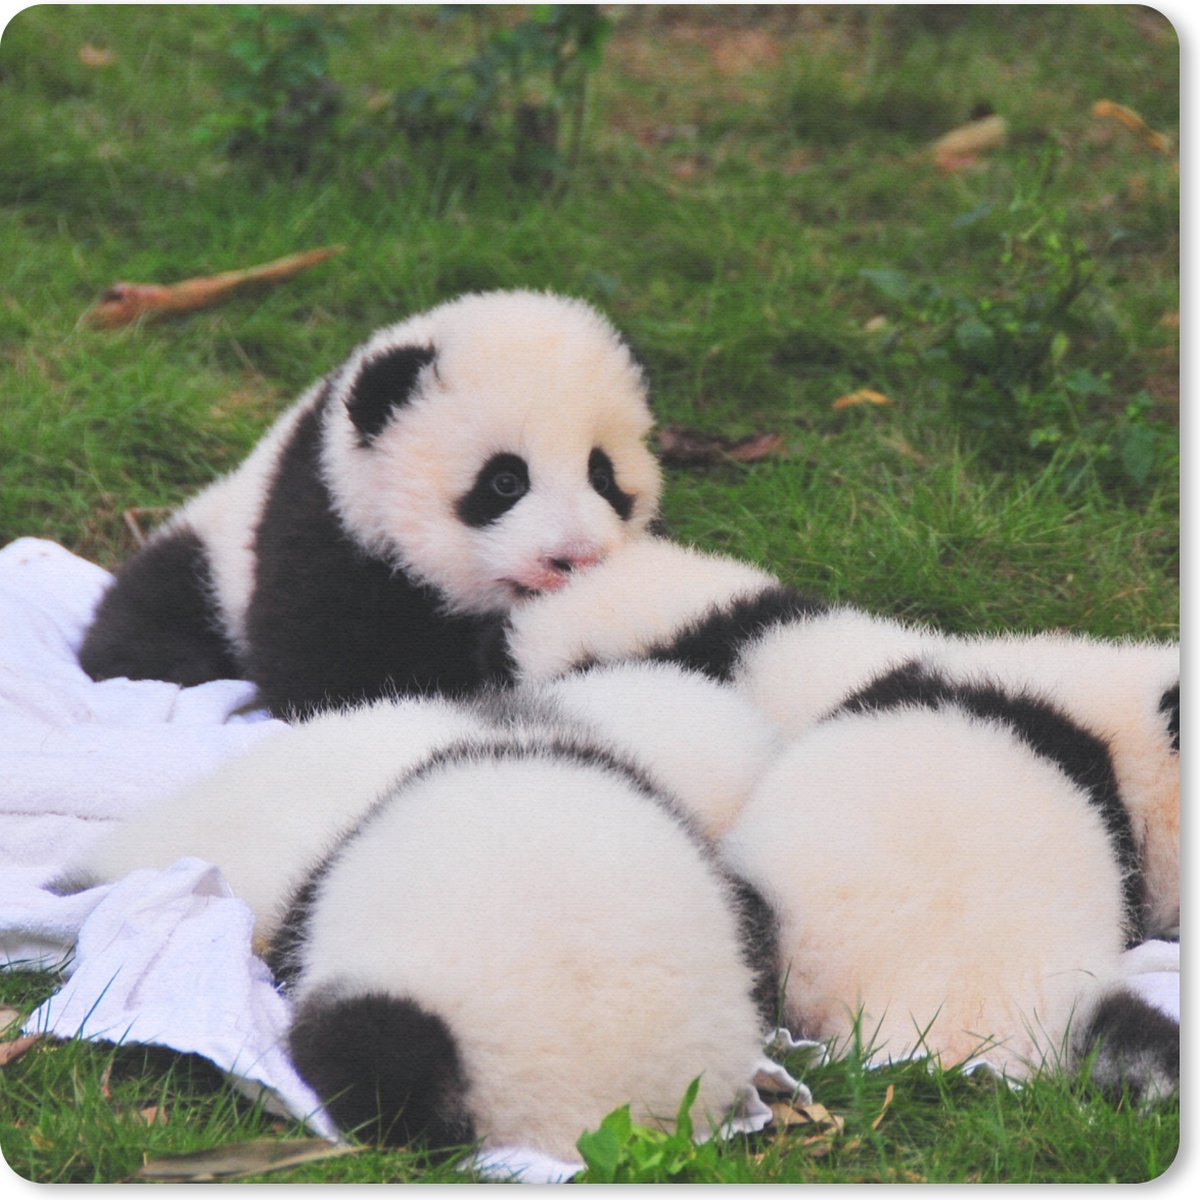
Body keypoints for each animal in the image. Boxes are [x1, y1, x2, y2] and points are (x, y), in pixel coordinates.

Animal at [78, 290, 662, 717]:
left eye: (602, 476)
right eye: (504, 482)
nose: (575, 558)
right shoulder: (323, 530)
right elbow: (337, 676)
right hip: (212, 563)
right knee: (151, 627)